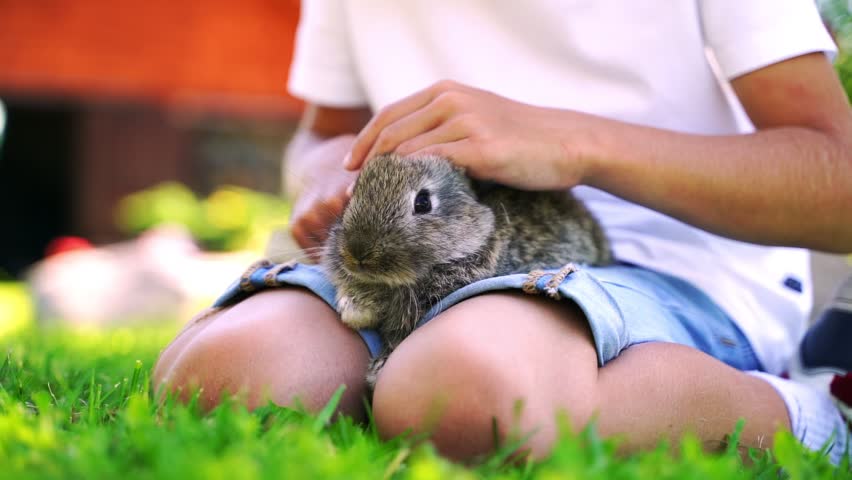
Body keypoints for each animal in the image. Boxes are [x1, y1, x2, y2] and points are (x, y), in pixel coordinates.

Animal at [321, 153, 612, 388]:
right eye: (353, 196)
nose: (358, 253)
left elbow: (398, 336)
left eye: (423, 202)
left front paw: (377, 368)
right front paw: (353, 310)